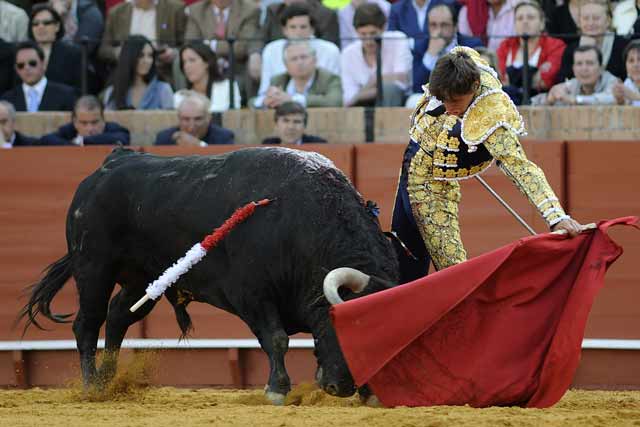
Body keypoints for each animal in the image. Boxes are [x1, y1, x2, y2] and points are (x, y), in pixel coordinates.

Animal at [18, 146, 400, 402]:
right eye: (346, 328)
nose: (342, 387)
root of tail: (110, 162)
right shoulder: (251, 294)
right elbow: (276, 338)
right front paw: (277, 390)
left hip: (144, 279)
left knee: (118, 316)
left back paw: (111, 380)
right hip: (93, 267)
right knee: (88, 322)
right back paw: (93, 386)